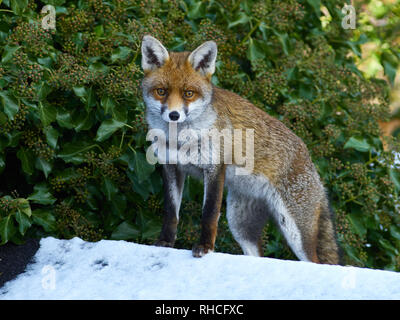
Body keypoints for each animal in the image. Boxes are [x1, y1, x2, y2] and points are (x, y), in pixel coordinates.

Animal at [140, 35, 340, 264]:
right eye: (161, 92)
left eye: (188, 93)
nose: (174, 115)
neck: (180, 140)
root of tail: (309, 158)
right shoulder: (171, 166)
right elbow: (171, 213)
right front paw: (165, 242)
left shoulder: (214, 168)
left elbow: (208, 214)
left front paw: (205, 247)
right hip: (239, 223)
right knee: (258, 255)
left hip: (294, 231)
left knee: (316, 261)